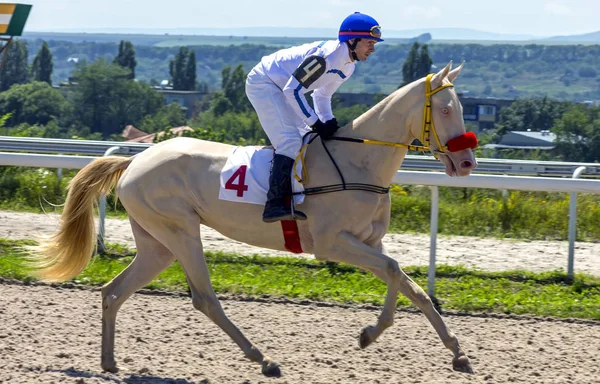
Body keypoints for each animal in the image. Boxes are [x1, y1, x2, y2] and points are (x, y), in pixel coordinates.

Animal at [30, 61, 478, 376]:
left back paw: (109, 362)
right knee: (204, 298)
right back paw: (263, 359)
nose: (468, 162)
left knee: (113, 292)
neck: (359, 160)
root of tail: (136, 160)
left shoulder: (369, 241)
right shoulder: (333, 243)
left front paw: (451, 351)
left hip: (157, 243)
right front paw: (379, 335)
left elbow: (405, 283)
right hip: (180, 230)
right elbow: (395, 272)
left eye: (462, 108)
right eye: (445, 109)